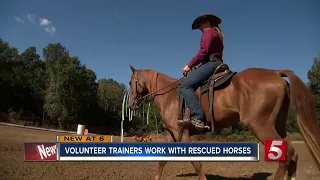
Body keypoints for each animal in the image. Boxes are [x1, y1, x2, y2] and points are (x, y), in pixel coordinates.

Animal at [127, 63, 320, 180]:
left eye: (130, 82)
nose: (130, 104)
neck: (170, 96)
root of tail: (274, 73)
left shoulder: (183, 133)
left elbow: (196, 162)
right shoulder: (171, 133)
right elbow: (162, 160)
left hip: (261, 126)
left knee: (287, 156)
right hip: (278, 126)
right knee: (292, 155)